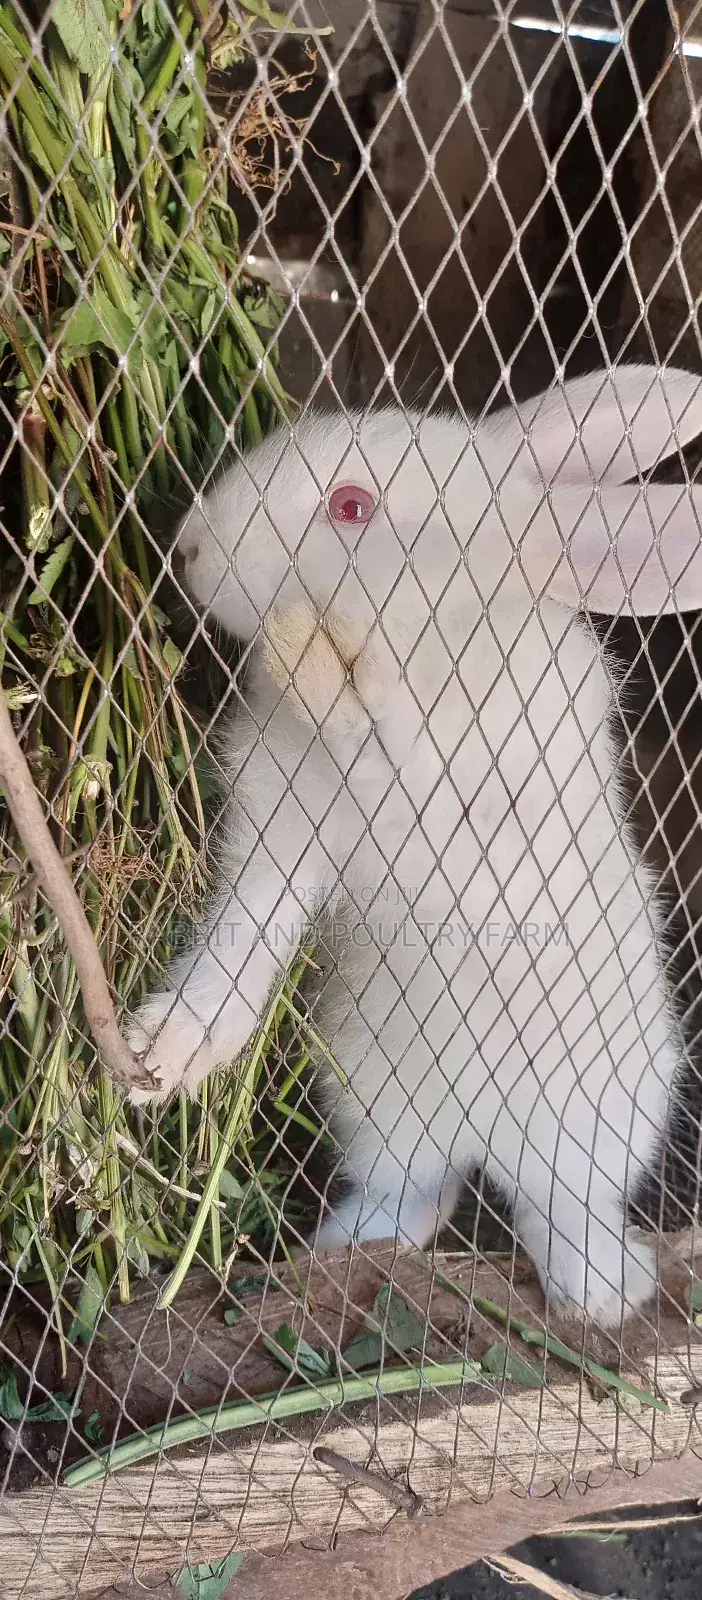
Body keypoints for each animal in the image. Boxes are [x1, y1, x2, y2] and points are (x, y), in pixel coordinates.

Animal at [128, 363, 702, 1328]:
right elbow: (234, 957)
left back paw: (603, 1295)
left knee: (564, 1212)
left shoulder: (448, 767)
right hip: (378, 1108)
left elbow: (374, 722)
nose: (190, 550)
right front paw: (157, 1058)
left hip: (593, 1117)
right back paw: (335, 1248)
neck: (429, 627)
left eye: (352, 506)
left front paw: (303, 650)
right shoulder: (281, 850)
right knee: (420, 1193)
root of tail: (479, 1136)